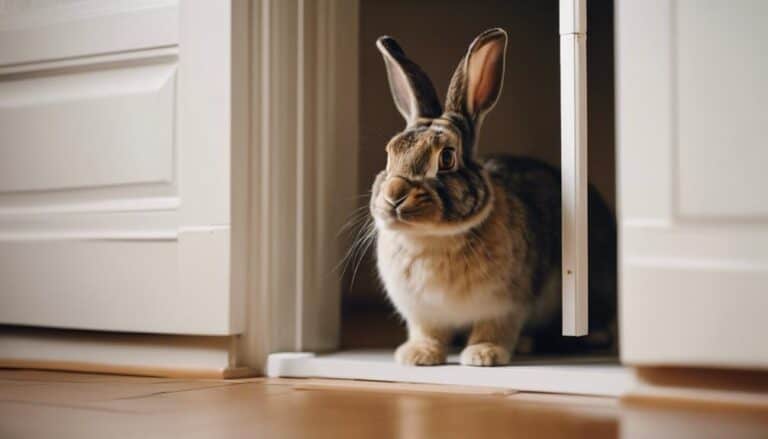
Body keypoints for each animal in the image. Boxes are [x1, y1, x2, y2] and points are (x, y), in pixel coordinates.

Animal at [369, 28, 617, 366]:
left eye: (447, 158)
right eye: (389, 153)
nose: (394, 195)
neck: (432, 238)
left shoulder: (506, 305)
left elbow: (493, 329)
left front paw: (483, 355)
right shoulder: (422, 312)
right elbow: (428, 332)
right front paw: (417, 356)